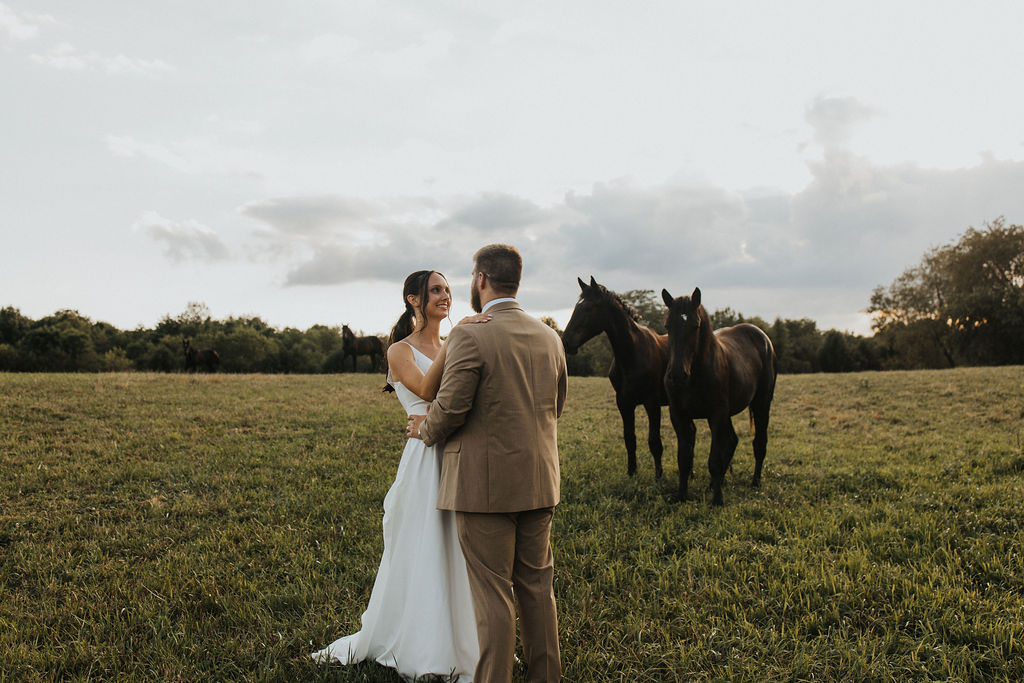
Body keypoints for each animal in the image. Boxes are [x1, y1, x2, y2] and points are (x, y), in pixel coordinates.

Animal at [561, 278, 671, 481]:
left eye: (588, 308)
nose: (566, 342)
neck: (632, 355)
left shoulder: (652, 403)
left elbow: (654, 441)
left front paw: (659, 477)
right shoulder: (623, 402)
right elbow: (629, 438)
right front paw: (631, 473)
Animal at [663, 286, 774, 505]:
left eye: (695, 326)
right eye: (668, 326)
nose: (677, 375)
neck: (695, 373)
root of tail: (762, 337)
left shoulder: (716, 414)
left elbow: (714, 459)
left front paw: (717, 501)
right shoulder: (679, 416)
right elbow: (684, 459)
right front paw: (681, 496)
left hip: (761, 404)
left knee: (759, 442)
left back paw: (755, 482)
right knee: (731, 441)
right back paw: (715, 484)